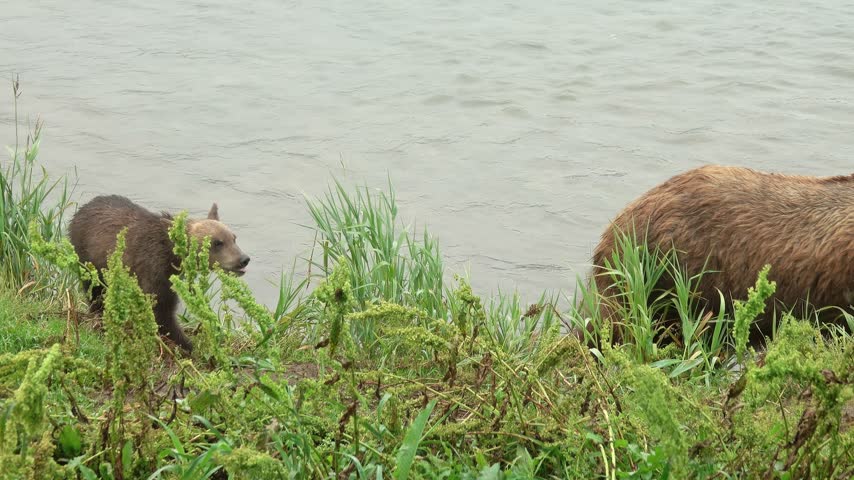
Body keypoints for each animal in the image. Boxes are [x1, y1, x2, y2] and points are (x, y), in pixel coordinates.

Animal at [68, 195, 250, 352]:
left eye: (233, 238)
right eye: (217, 242)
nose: (244, 259)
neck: (173, 257)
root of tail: (81, 210)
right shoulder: (155, 270)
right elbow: (162, 312)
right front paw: (188, 344)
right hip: (88, 258)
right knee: (94, 290)